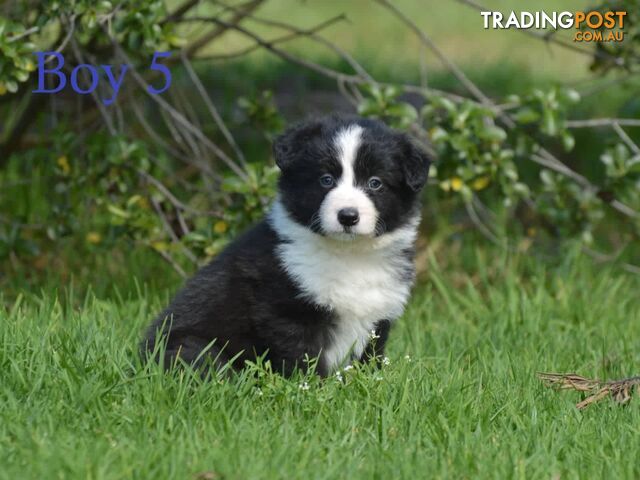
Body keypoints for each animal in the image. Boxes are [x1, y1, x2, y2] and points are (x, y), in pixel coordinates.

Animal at [143, 113, 432, 376]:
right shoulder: (286, 310)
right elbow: (302, 356)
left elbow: (369, 358)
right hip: (192, 346)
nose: (348, 216)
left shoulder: (378, 316)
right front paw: (312, 388)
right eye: (326, 179)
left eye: (375, 183)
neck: (349, 254)